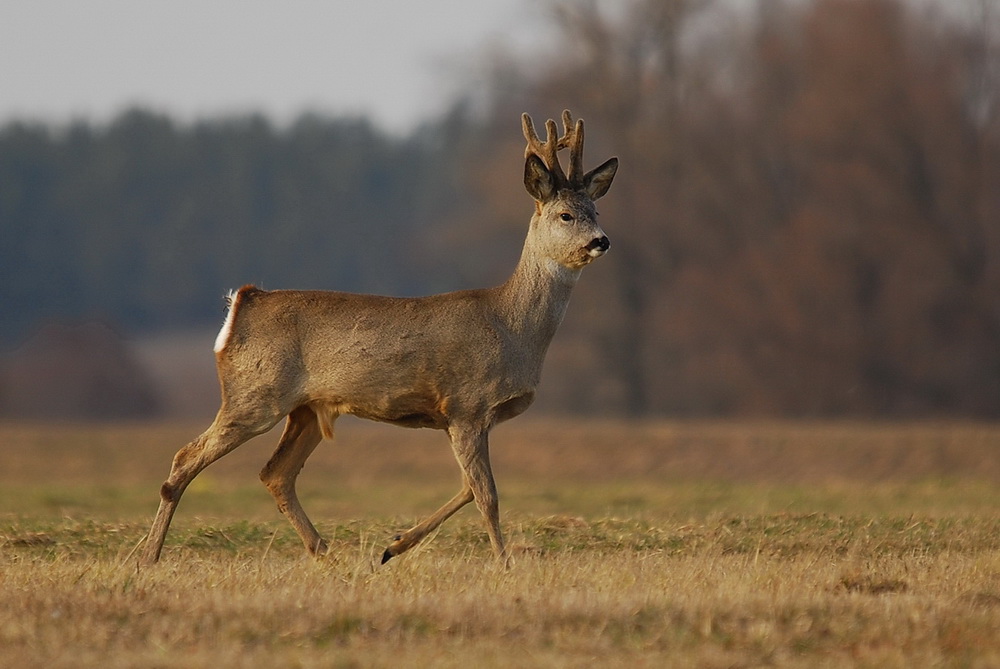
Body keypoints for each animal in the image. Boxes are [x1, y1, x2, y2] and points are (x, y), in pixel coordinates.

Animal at [141, 111, 616, 564]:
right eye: (565, 214)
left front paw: (394, 546)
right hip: (255, 393)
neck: (512, 327)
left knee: (275, 473)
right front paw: (504, 565)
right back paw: (149, 557)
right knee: (186, 459)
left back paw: (328, 556)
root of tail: (243, 302)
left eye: (595, 211)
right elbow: (487, 495)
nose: (602, 241)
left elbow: (467, 488)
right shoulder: (466, 404)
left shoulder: (464, 417)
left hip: (306, 409)